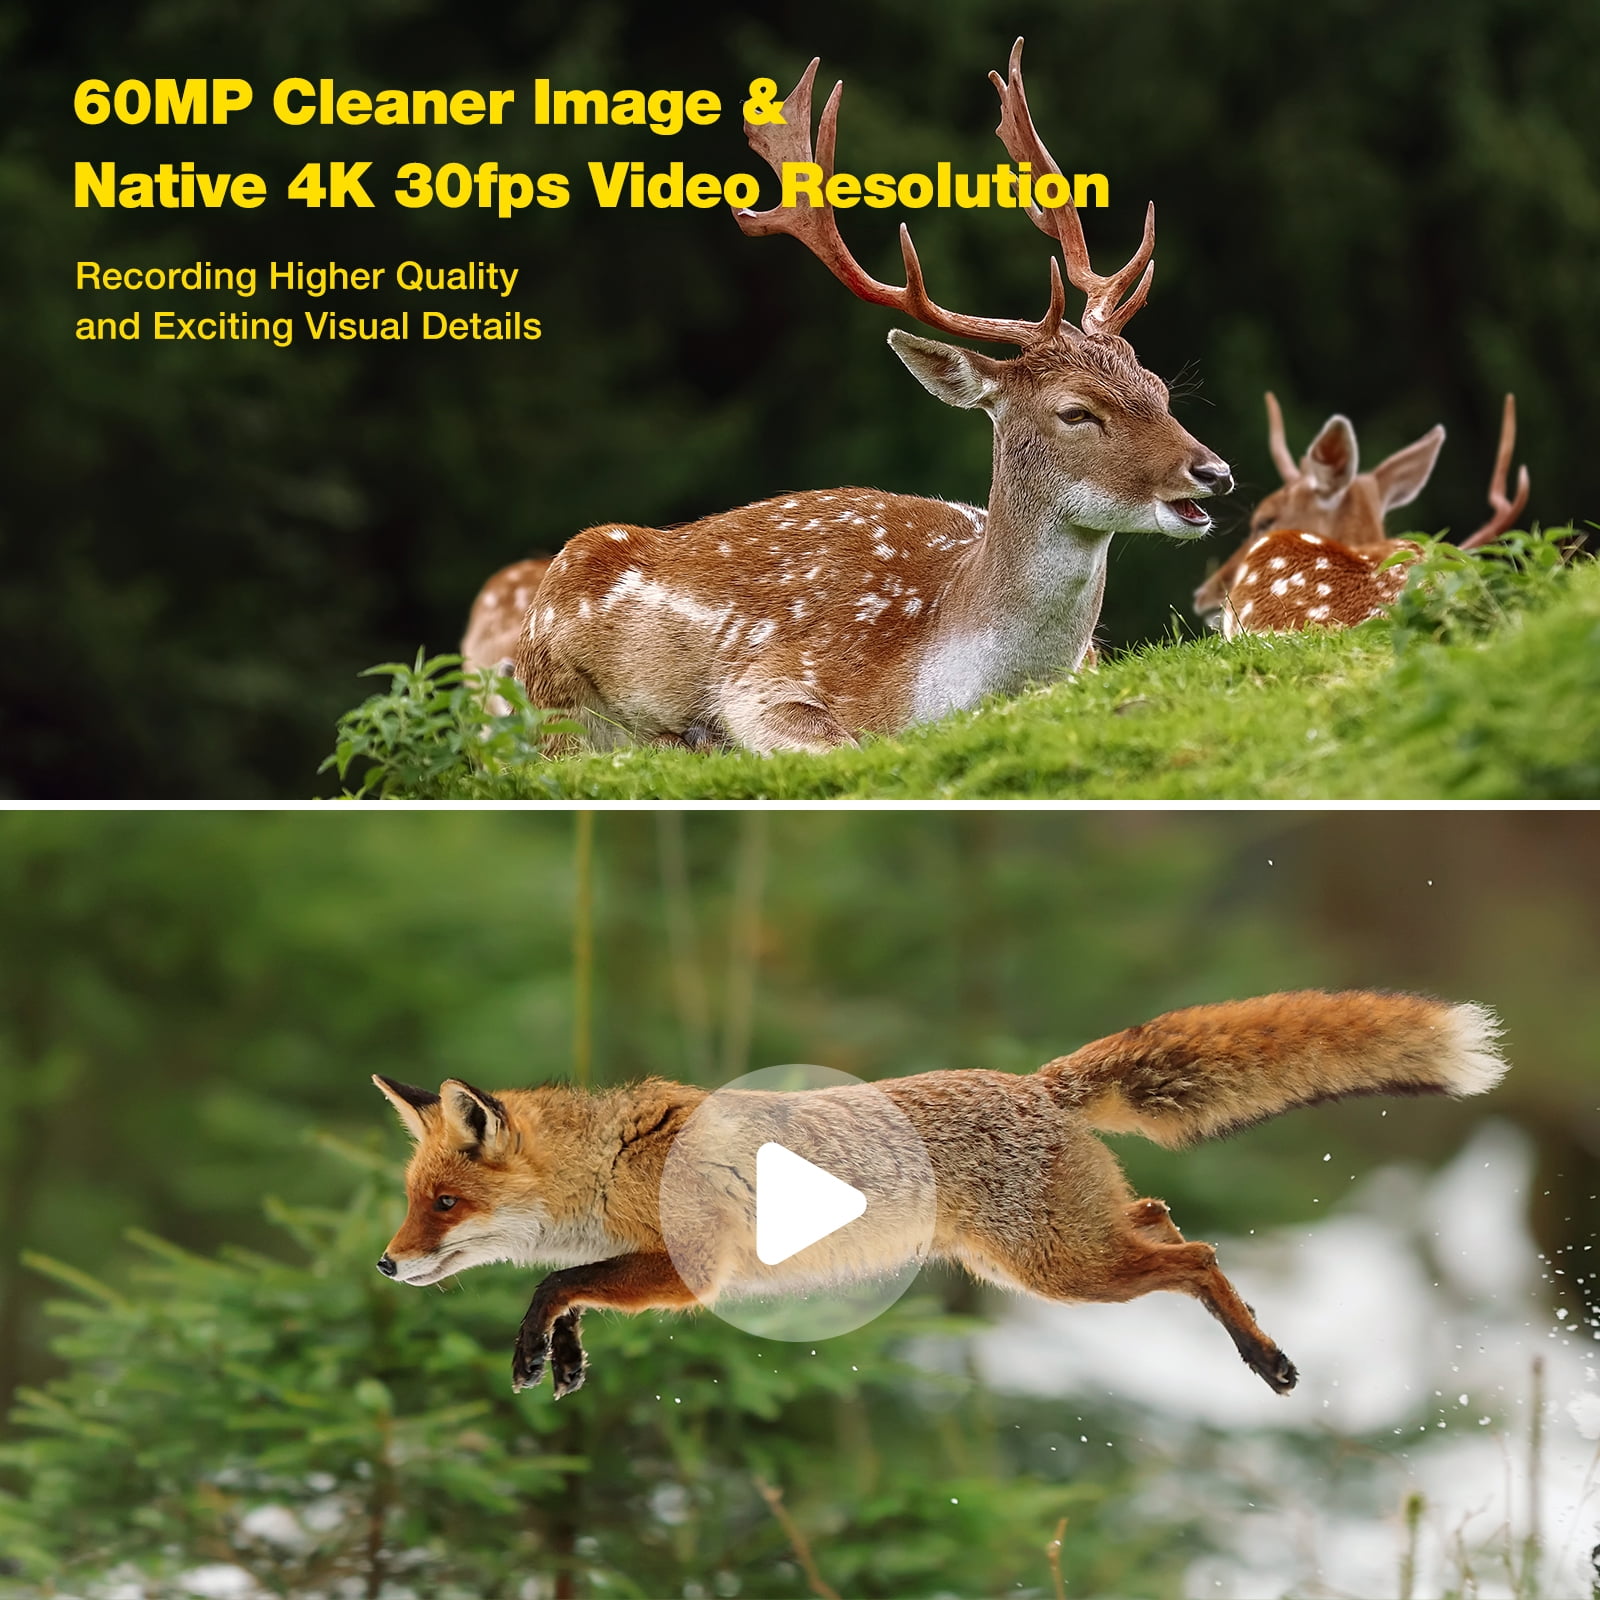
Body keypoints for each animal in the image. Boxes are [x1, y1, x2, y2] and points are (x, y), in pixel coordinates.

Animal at [509, 40, 1232, 754]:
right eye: (1075, 411)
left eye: (1159, 389)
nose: (1215, 472)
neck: (943, 671)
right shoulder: (765, 681)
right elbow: (841, 741)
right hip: (551, 692)